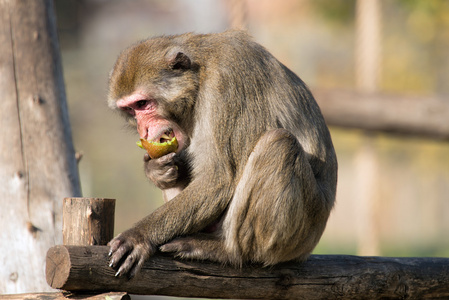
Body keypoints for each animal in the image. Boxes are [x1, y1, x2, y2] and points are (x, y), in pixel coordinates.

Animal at [106, 29, 336, 278]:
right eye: (130, 110)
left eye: (142, 103)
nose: (144, 129)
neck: (200, 77)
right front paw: (156, 169)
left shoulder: (229, 82)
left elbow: (219, 180)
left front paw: (140, 235)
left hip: (299, 234)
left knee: (279, 143)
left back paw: (228, 250)